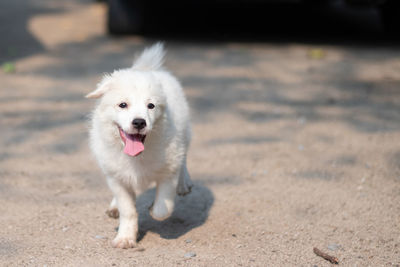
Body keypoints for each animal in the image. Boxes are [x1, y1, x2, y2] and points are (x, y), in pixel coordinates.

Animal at [86, 43, 193, 250]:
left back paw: (184, 183)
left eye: (151, 106)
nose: (139, 122)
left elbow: (163, 208)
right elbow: (128, 210)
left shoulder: (168, 170)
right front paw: (125, 238)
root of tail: (146, 69)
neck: (136, 157)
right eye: (122, 105)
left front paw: (153, 208)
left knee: (184, 158)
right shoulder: (116, 177)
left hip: (184, 134)